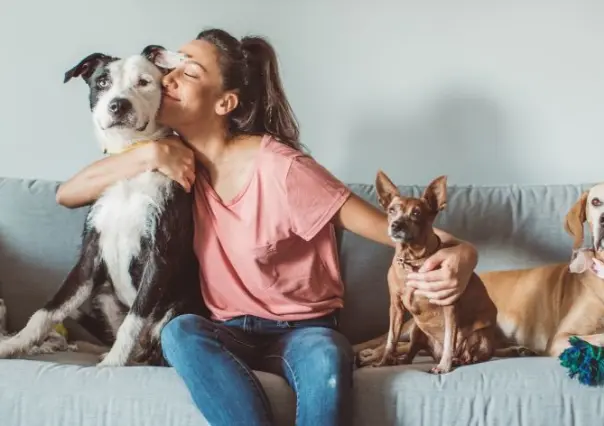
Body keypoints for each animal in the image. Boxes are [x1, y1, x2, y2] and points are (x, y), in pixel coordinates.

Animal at [0, 45, 209, 366]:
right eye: (102, 82)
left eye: (144, 82)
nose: (118, 105)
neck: (128, 159)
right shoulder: (89, 255)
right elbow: (46, 311)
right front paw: (14, 344)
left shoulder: (160, 255)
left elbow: (133, 320)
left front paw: (112, 365)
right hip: (98, 296)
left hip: (176, 307)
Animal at [360, 171, 498, 374]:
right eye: (391, 210)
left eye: (416, 213)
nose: (396, 225)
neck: (411, 260)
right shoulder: (396, 307)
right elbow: (391, 339)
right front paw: (384, 361)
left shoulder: (449, 306)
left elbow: (450, 339)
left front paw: (444, 366)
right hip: (417, 329)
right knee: (410, 353)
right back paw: (399, 360)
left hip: (478, 335)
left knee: (467, 352)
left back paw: (458, 359)